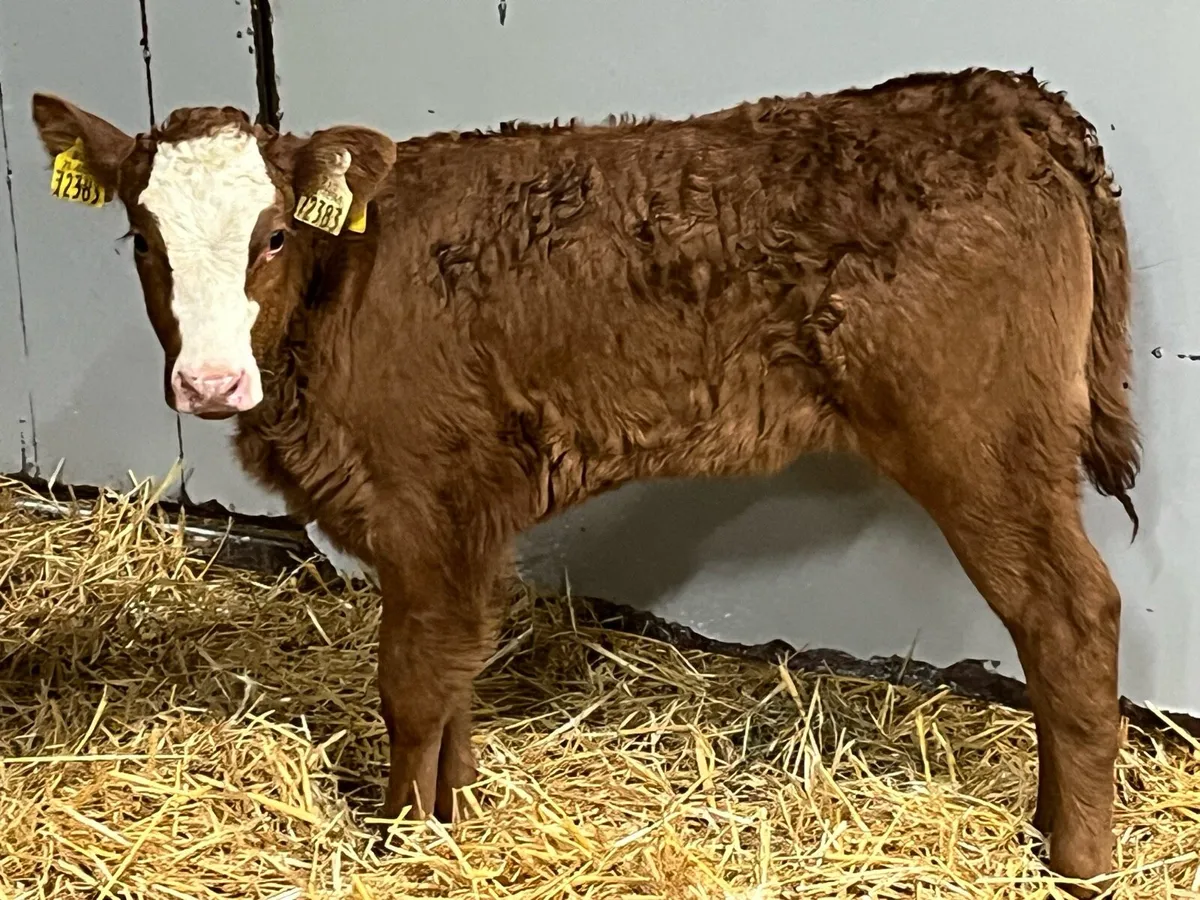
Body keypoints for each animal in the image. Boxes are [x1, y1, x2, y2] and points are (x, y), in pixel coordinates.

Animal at [31, 67, 1139, 888]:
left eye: (273, 236)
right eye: (142, 239)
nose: (209, 382)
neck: (337, 303)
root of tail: (1003, 98)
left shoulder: (424, 501)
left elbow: (410, 684)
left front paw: (400, 839)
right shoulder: (464, 519)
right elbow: (453, 672)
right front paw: (452, 814)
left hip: (982, 440)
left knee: (1070, 616)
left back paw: (1078, 859)